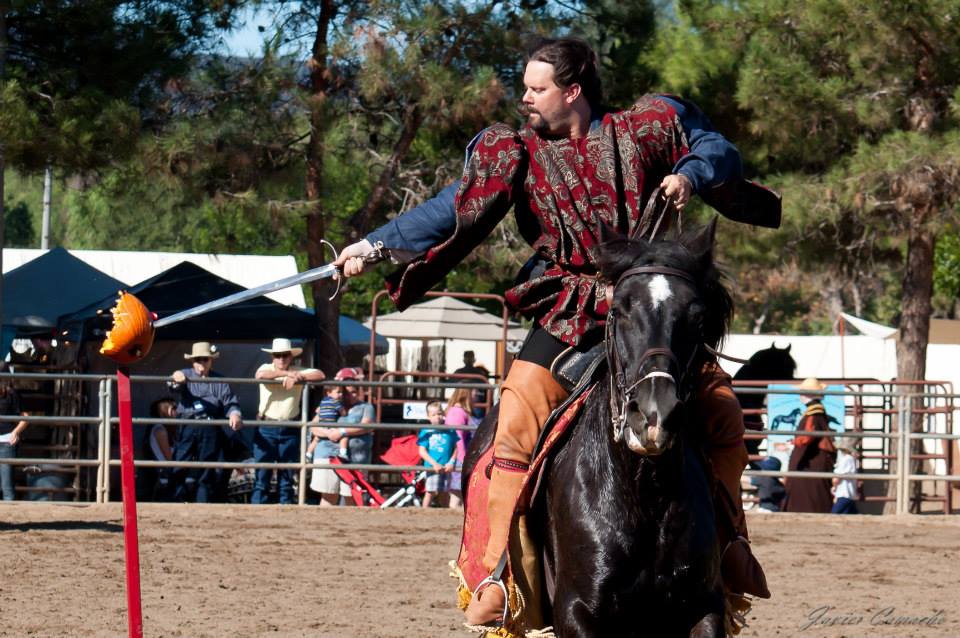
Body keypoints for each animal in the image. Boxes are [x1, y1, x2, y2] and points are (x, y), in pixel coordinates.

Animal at [464, 220, 733, 637]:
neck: (644, 491)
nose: (654, 413)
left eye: (697, 316)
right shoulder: (576, 610)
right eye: (619, 310)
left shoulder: (702, 607)